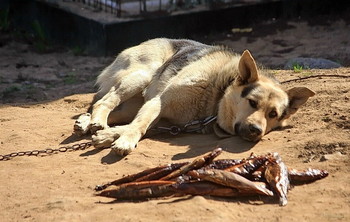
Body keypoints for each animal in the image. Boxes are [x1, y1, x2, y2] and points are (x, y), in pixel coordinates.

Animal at [73, 38, 314, 155]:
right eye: (252, 102)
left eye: (273, 114)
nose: (256, 131)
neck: (215, 96)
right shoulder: (158, 102)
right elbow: (138, 126)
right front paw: (124, 142)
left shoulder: (160, 114)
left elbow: (134, 125)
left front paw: (109, 136)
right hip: (142, 76)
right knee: (104, 101)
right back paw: (97, 121)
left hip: (136, 101)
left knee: (106, 109)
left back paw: (88, 123)